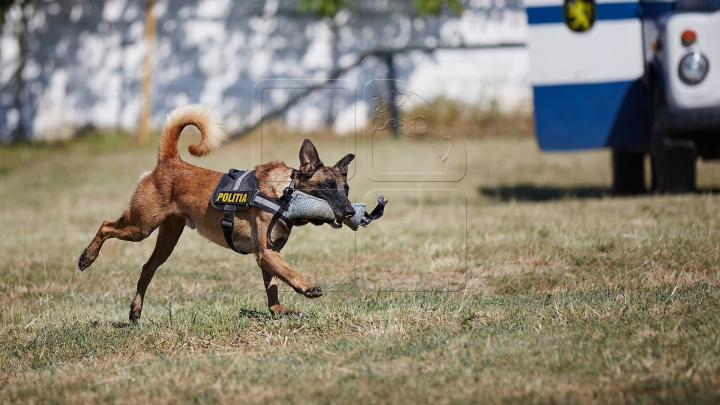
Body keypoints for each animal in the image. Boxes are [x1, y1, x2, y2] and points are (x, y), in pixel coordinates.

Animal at [79, 105, 358, 320]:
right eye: (327, 187)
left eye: (346, 189)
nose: (349, 212)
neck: (284, 193)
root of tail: (169, 162)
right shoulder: (267, 255)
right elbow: (289, 273)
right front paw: (307, 288)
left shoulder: (268, 255)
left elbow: (273, 288)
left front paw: (279, 310)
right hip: (141, 226)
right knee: (106, 225)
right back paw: (87, 257)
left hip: (167, 239)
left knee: (147, 268)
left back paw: (135, 311)